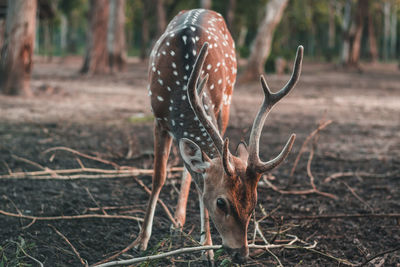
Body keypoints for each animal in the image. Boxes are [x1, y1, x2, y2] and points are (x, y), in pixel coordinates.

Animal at [132, 7, 304, 264]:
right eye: (221, 202)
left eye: (254, 204)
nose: (241, 254)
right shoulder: (158, 118)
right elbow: (158, 177)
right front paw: (141, 241)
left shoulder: (216, 107)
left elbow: (199, 180)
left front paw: (207, 247)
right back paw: (177, 223)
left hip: (226, 101)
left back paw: (180, 223)